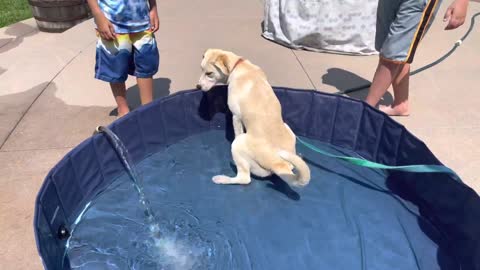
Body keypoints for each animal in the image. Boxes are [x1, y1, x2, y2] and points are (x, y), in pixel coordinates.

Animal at [196, 48, 312, 187]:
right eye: (201, 69)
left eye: (209, 73)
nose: (197, 86)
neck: (238, 65)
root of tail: (280, 164)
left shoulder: (236, 117)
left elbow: (237, 132)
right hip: (287, 127)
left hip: (239, 144)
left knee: (245, 179)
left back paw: (222, 179)